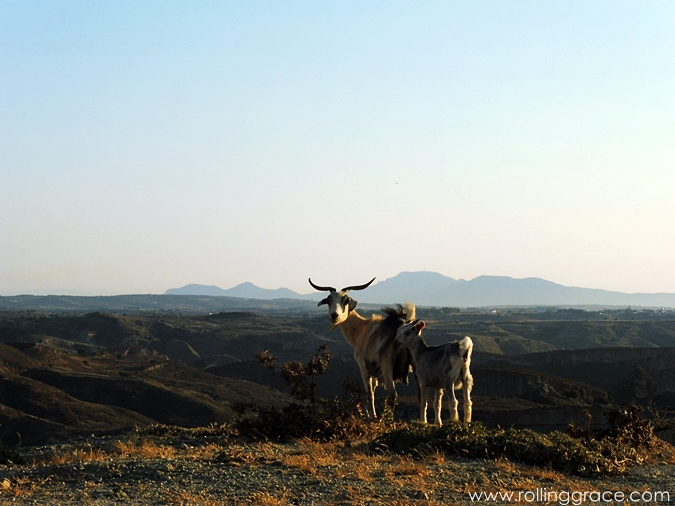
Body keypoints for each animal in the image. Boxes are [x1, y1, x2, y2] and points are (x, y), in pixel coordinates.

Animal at [310, 276, 418, 420]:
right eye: (329, 300)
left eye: (345, 300)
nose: (334, 315)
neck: (362, 329)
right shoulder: (374, 373)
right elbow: (373, 390)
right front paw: (371, 414)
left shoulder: (364, 368)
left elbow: (369, 394)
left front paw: (371, 416)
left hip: (387, 367)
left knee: (392, 395)